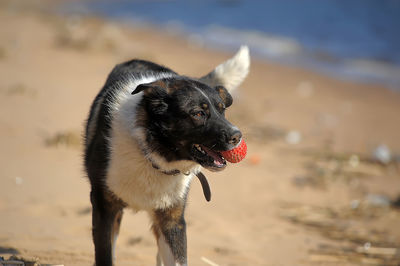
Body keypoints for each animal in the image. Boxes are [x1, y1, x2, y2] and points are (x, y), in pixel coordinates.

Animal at [83, 44, 248, 264]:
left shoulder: (172, 219)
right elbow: (105, 256)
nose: (237, 136)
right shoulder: (105, 206)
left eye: (222, 110)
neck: (151, 155)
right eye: (198, 113)